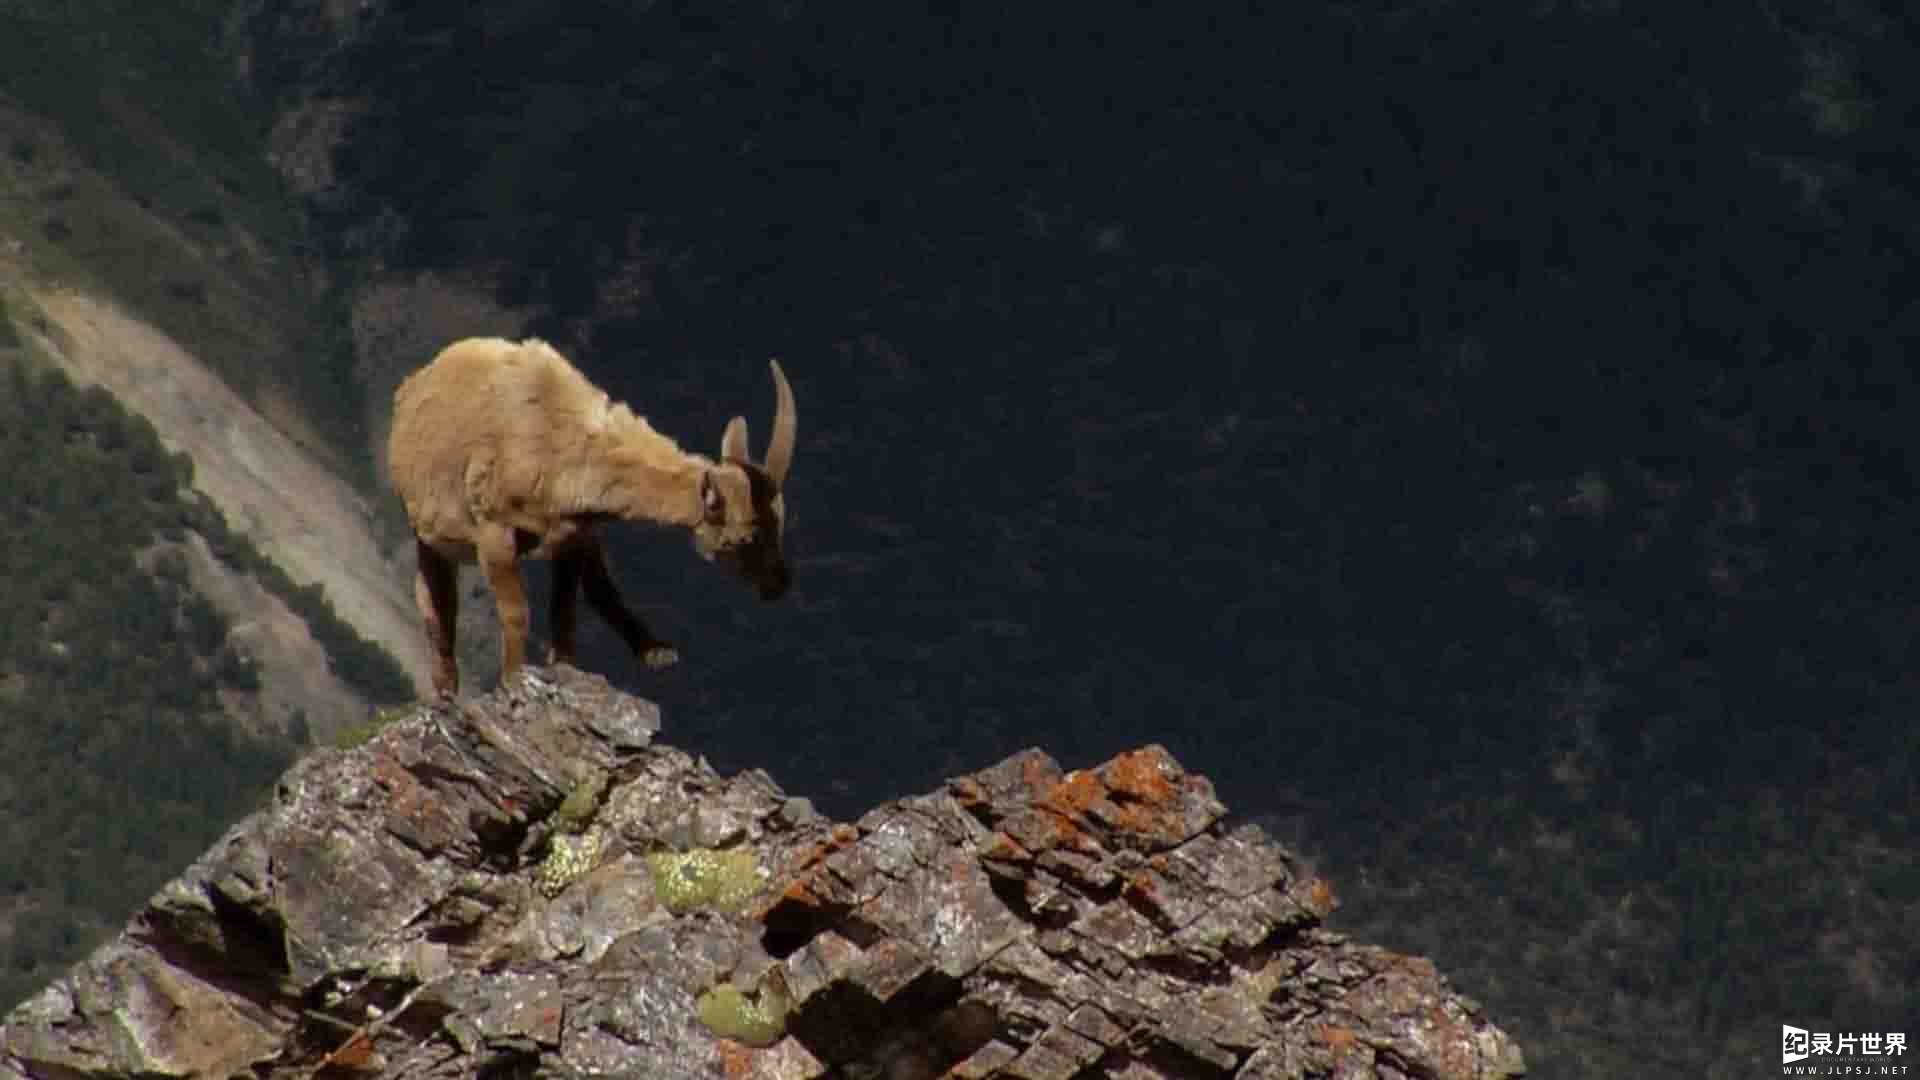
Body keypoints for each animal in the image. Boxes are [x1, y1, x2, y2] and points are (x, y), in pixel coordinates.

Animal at [385, 332, 791, 699]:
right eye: (746, 537)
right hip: (430, 539)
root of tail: (413, 384)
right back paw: (445, 692)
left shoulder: (572, 536)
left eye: (780, 524)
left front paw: (565, 668)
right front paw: (514, 679)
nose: (778, 585)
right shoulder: (493, 531)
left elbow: (567, 611)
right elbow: (516, 612)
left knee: (600, 588)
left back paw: (655, 650)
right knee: (437, 610)